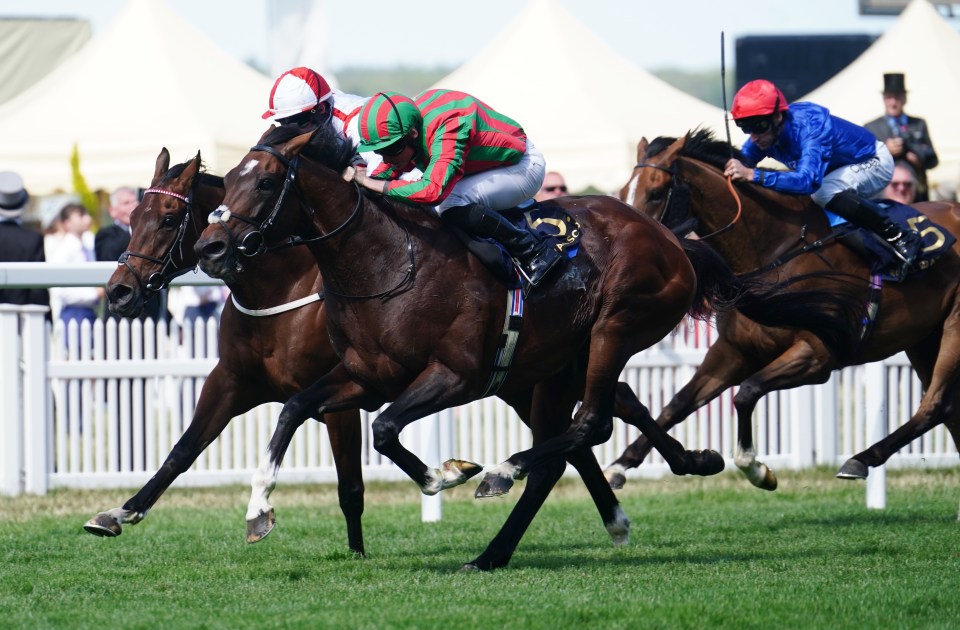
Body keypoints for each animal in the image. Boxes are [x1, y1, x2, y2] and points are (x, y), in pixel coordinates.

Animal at [82, 151, 370, 556]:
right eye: (134, 217)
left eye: (169, 219)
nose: (119, 292)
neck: (280, 290)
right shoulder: (231, 382)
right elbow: (183, 449)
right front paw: (120, 512)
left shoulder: (341, 399)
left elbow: (350, 486)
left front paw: (356, 553)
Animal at [191, 124, 736, 572]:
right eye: (229, 179)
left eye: (264, 183)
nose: (209, 247)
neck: (386, 262)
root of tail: (670, 239)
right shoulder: (367, 377)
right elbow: (295, 409)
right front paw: (258, 509)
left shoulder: (456, 375)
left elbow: (385, 429)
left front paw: (445, 475)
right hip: (555, 366)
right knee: (566, 450)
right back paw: (496, 551)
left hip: (614, 329)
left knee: (590, 423)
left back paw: (501, 473)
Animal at [608, 130, 960, 498]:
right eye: (622, 192)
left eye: (656, 192)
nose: (630, 247)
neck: (770, 252)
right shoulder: (733, 351)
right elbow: (678, 403)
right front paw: (619, 466)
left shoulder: (818, 355)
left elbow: (746, 393)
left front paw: (756, 469)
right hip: (922, 337)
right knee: (948, 411)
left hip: (953, 326)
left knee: (934, 405)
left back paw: (859, 459)